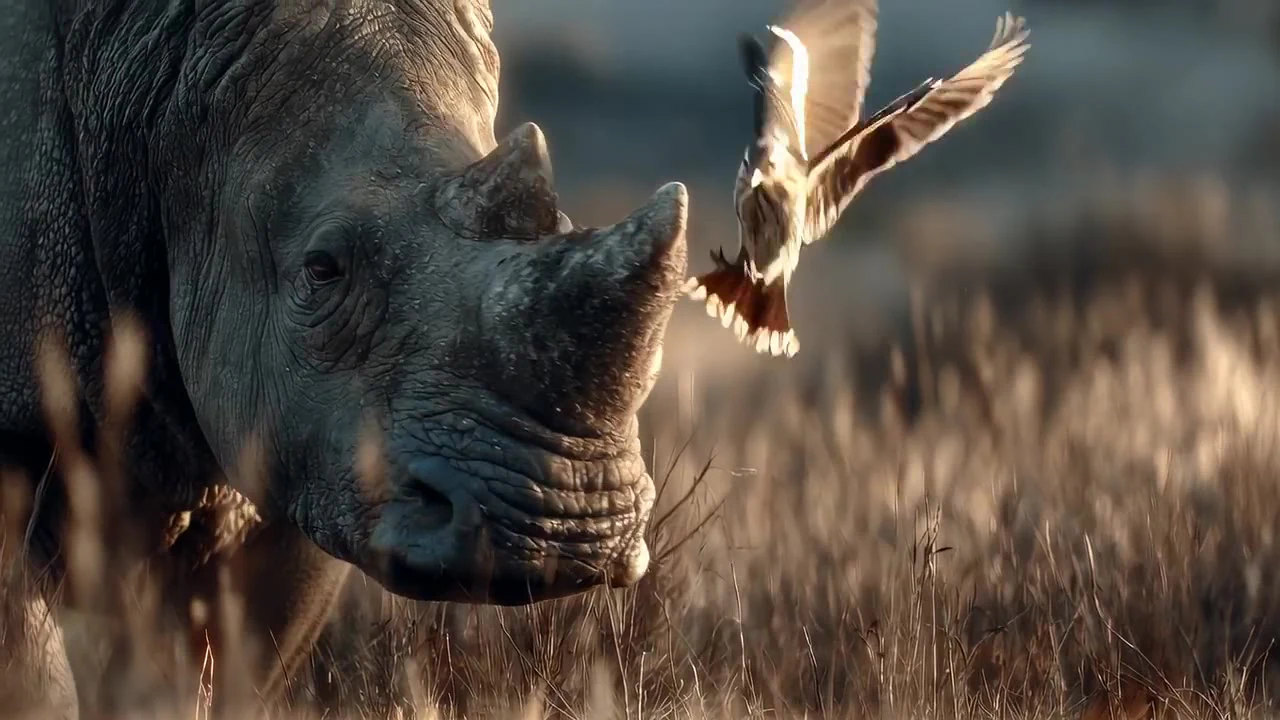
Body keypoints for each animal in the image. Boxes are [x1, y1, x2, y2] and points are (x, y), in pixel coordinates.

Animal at [0, 0, 688, 716]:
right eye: (322, 268)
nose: (565, 523)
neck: (155, 98)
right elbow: (30, 673)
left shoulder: (318, 447)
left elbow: (233, 660)